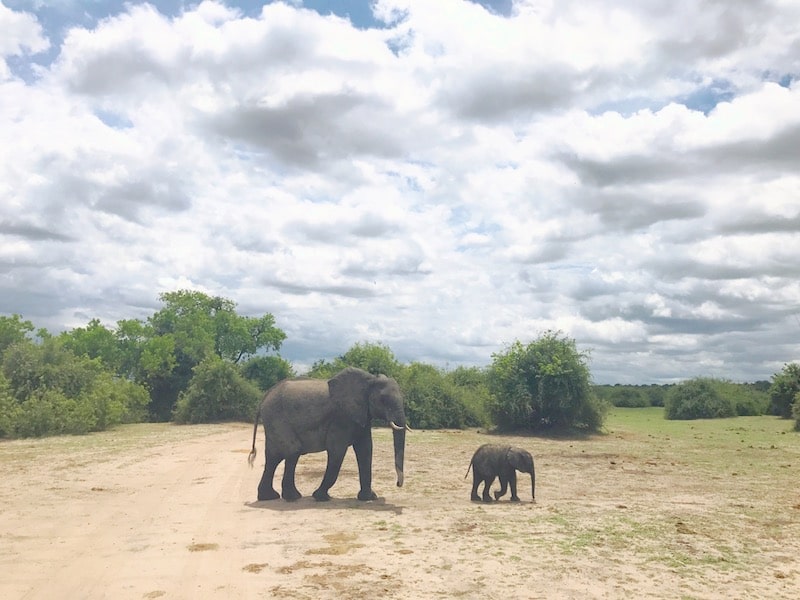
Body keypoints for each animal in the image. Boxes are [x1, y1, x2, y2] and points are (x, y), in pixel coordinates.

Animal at [248, 367, 409, 502]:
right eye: (383, 400)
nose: (398, 484)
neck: (369, 379)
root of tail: (264, 397)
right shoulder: (341, 417)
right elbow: (337, 451)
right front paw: (321, 497)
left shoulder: (360, 415)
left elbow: (365, 450)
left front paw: (368, 498)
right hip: (278, 419)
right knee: (292, 451)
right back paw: (292, 497)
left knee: (274, 457)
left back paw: (269, 497)